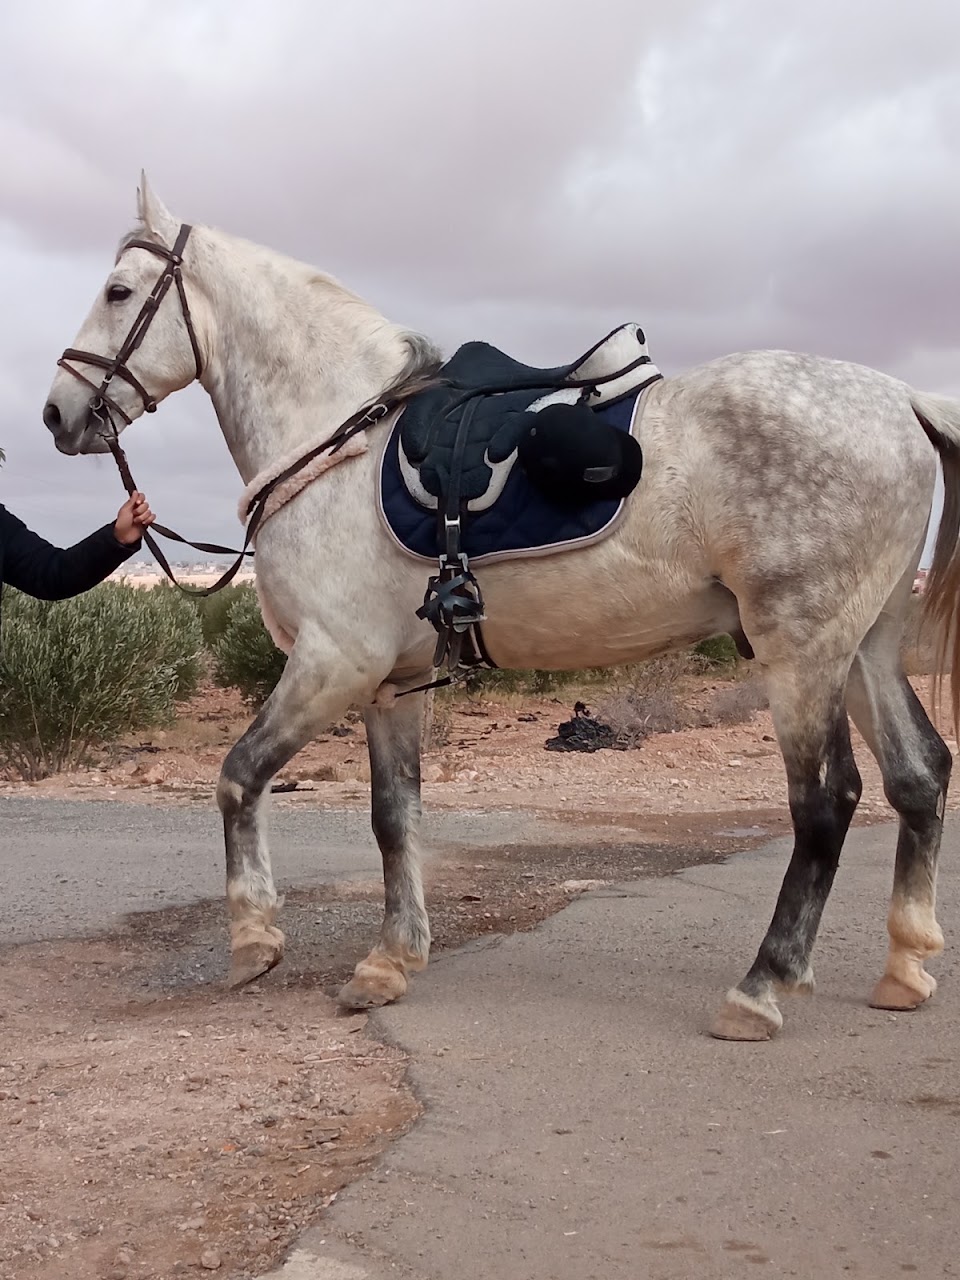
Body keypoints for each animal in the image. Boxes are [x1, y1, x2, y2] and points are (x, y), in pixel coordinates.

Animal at [41, 175, 960, 1042]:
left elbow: (238, 779)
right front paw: (390, 960)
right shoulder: (391, 685)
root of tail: (903, 401)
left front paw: (254, 940)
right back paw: (905, 968)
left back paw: (761, 989)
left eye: (119, 291)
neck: (339, 440)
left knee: (827, 802)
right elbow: (394, 818)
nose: (58, 413)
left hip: (801, 653)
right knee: (919, 775)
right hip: (865, 647)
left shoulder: (333, 662)